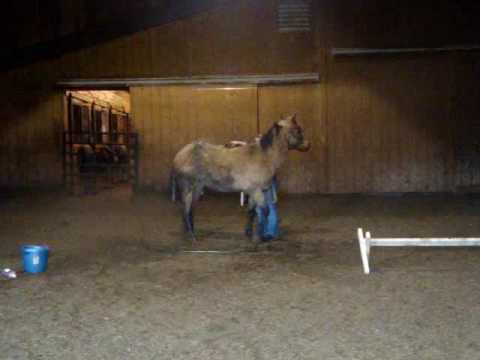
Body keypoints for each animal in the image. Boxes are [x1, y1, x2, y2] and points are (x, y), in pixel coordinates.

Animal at [172, 114, 312, 242]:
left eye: (299, 129)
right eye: (296, 130)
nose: (308, 145)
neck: (263, 156)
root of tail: (180, 154)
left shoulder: (252, 191)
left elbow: (251, 212)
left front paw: (249, 233)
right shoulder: (256, 190)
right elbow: (264, 211)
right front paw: (260, 237)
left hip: (198, 187)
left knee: (191, 209)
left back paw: (190, 232)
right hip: (187, 187)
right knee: (185, 209)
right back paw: (191, 236)